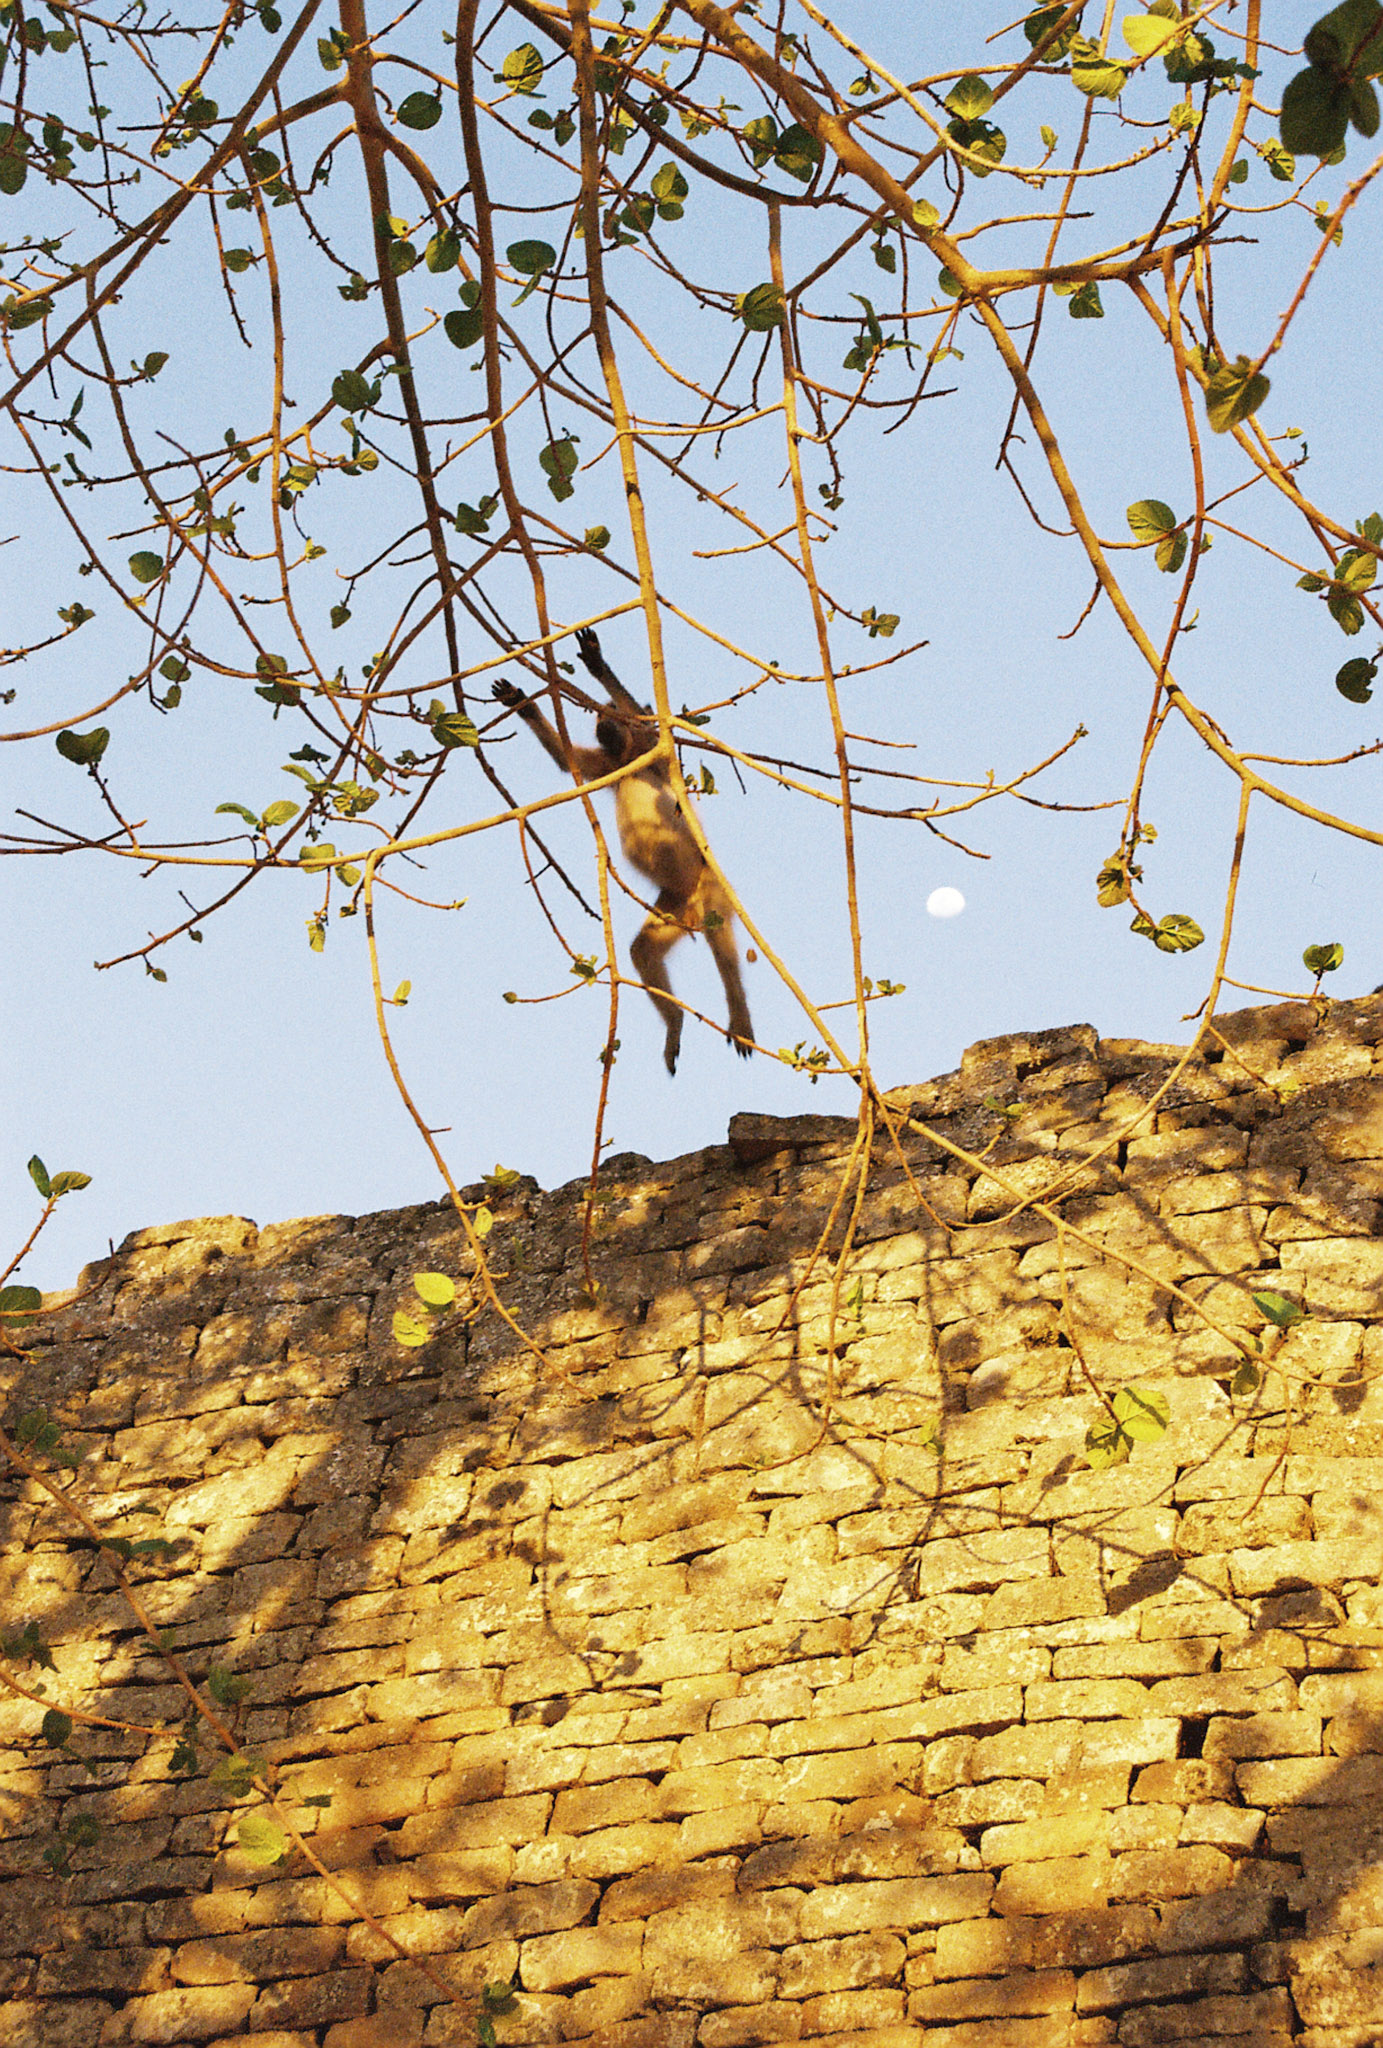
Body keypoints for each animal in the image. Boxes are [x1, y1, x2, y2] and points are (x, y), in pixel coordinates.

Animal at [492, 628, 753, 1074]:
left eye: (610, 712)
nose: (604, 721)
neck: (631, 761)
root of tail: (691, 904)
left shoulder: (649, 748)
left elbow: (647, 724)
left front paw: (601, 666)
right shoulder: (610, 765)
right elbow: (566, 760)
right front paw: (521, 702)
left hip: (710, 888)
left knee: (724, 950)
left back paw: (738, 1014)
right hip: (674, 906)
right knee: (643, 950)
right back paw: (675, 1024)